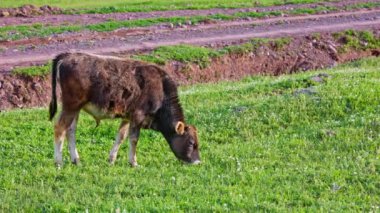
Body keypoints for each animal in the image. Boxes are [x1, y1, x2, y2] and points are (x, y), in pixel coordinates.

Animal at [49, 52, 200, 167]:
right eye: (191, 143)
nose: (198, 162)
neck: (161, 89)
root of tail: (68, 55)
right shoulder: (138, 116)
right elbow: (133, 139)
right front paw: (134, 163)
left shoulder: (128, 117)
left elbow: (121, 136)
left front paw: (111, 160)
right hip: (71, 106)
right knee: (60, 128)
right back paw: (58, 162)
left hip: (75, 109)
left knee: (70, 131)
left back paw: (76, 160)